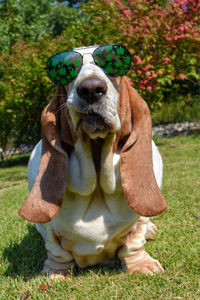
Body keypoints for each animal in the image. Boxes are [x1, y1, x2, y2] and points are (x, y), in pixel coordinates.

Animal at [18, 45, 166, 278]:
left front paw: (142, 265)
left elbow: (135, 240)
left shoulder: (139, 222)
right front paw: (55, 273)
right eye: (66, 71)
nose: (91, 89)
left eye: (114, 63)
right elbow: (55, 249)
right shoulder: (49, 229)